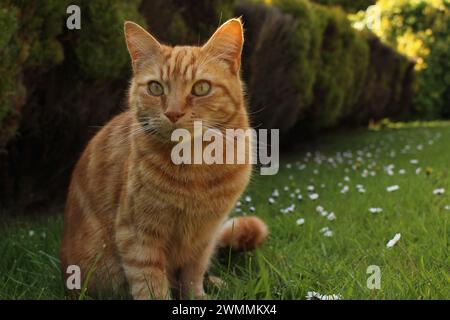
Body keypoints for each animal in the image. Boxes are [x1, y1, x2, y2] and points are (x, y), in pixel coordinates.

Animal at [59, 18, 268, 300]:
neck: (196, 164)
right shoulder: (138, 235)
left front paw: (198, 296)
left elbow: (194, 273)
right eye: (155, 88)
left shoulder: (205, 235)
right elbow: (151, 283)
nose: (173, 113)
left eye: (201, 88)